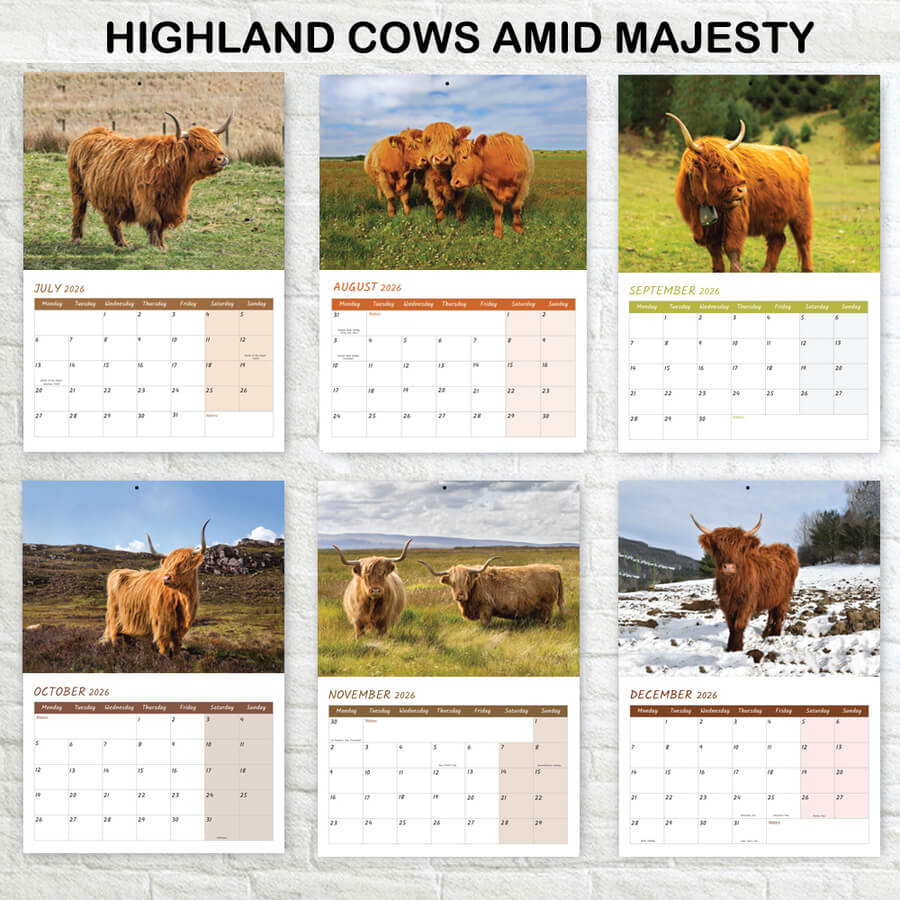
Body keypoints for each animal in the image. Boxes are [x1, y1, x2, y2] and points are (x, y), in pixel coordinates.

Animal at [68, 110, 232, 250]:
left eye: (216, 143)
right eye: (199, 146)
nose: (223, 159)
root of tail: (88, 133)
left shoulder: (168, 205)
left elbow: (162, 226)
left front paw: (163, 245)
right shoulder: (146, 200)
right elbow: (155, 222)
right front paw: (157, 246)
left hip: (111, 196)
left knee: (112, 220)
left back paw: (122, 243)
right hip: (77, 188)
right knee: (79, 212)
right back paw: (76, 239)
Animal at [101, 519, 209, 657]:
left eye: (184, 564)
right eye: (168, 564)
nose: (166, 578)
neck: (183, 599)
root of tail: (117, 570)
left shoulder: (179, 629)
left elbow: (177, 647)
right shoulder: (162, 624)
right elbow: (164, 648)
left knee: (125, 638)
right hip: (114, 616)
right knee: (114, 637)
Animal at [418, 557, 565, 626]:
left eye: (466, 580)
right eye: (452, 583)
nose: (460, 596)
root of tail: (554, 569)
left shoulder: (485, 608)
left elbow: (484, 624)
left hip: (547, 606)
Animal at [667, 112, 813, 273]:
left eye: (734, 165)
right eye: (714, 166)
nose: (742, 189)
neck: (705, 203)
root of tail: (797, 156)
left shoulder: (735, 218)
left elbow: (732, 249)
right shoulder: (707, 230)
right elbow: (715, 253)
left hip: (801, 213)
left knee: (803, 240)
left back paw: (807, 269)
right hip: (773, 216)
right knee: (777, 240)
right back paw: (766, 270)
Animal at [691, 513, 799, 652]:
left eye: (741, 548)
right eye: (718, 548)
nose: (729, 567)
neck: (731, 586)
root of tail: (784, 547)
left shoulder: (746, 603)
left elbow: (738, 624)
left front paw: (737, 648)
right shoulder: (726, 604)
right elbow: (731, 625)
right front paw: (729, 647)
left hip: (786, 594)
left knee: (780, 613)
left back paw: (775, 634)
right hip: (773, 594)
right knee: (771, 612)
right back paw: (766, 633)